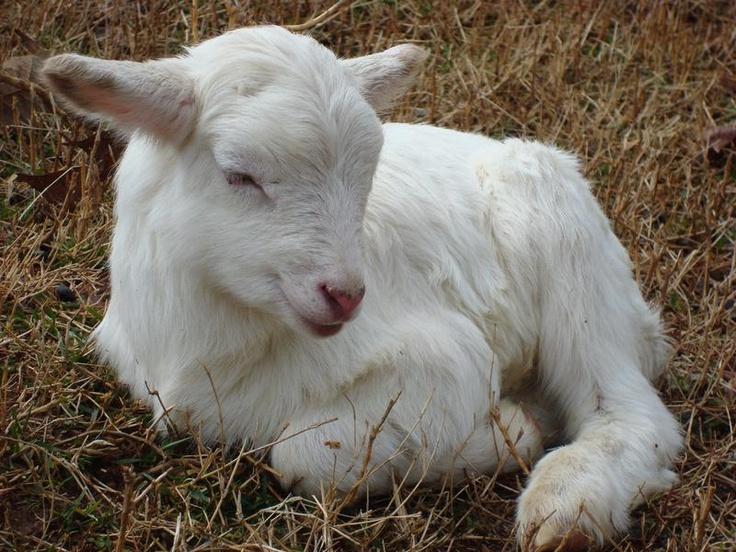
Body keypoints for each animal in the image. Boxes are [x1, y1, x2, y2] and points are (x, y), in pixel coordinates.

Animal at [43, 24, 680, 548]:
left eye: (368, 173)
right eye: (238, 175)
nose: (346, 295)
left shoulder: (451, 361)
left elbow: (300, 454)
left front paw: (512, 433)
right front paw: (515, 427)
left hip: (570, 258)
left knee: (630, 413)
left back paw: (565, 507)